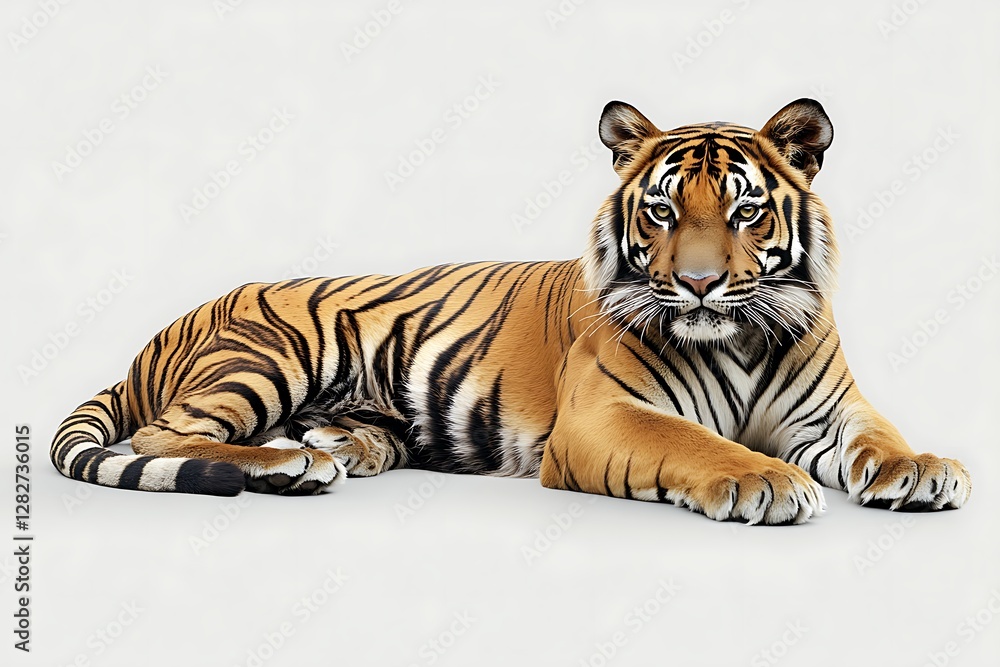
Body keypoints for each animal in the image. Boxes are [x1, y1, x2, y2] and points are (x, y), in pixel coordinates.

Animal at [50, 98, 971, 525]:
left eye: (745, 212)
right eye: (663, 212)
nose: (702, 284)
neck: (738, 337)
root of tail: (159, 334)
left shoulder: (834, 409)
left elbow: (883, 434)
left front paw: (925, 468)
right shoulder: (605, 415)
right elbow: (696, 443)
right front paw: (764, 479)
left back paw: (333, 448)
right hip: (271, 349)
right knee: (165, 434)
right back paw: (290, 464)